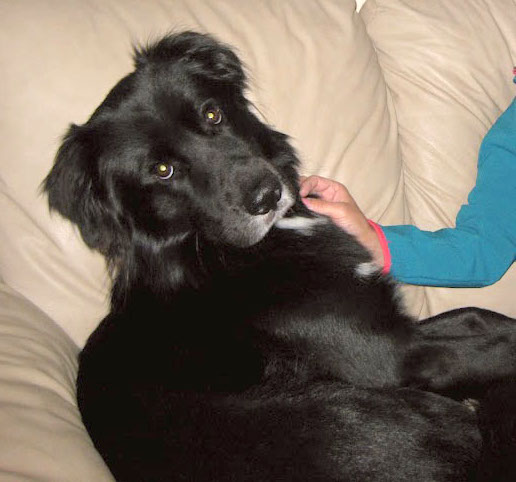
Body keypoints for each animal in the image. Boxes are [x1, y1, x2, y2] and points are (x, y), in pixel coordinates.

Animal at [43, 32, 516, 480]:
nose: (267, 195)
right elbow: (498, 342)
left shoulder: (395, 327)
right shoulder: (398, 357)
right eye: (162, 171)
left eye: (212, 114)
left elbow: (478, 317)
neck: (212, 254)